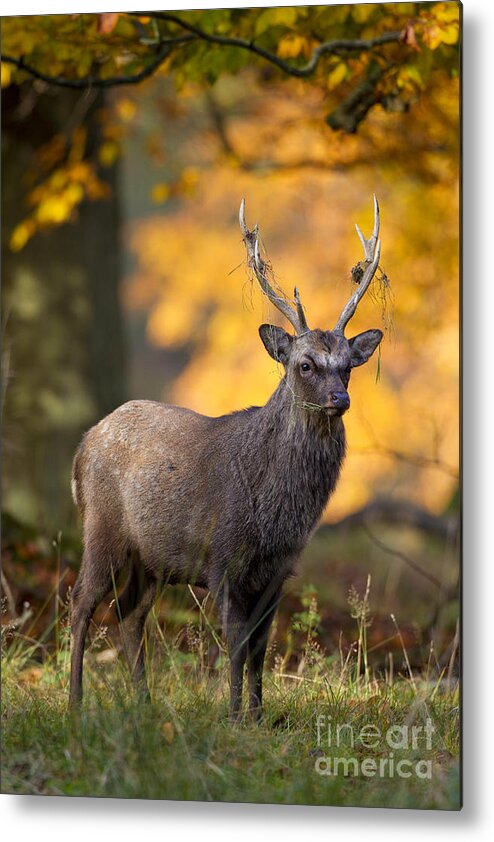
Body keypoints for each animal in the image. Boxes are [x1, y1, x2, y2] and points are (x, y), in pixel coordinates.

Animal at [69, 195, 384, 716]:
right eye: (305, 364)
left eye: (348, 367)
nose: (340, 400)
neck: (275, 515)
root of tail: (83, 443)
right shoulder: (222, 559)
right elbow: (235, 644)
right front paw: (234, 715)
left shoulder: (278, 571)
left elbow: (261, 646)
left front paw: (258, 715)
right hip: (102, 529)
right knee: (81, 603)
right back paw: (74, 703)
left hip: (151, 559)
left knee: (130, 615)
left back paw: (143, 703)